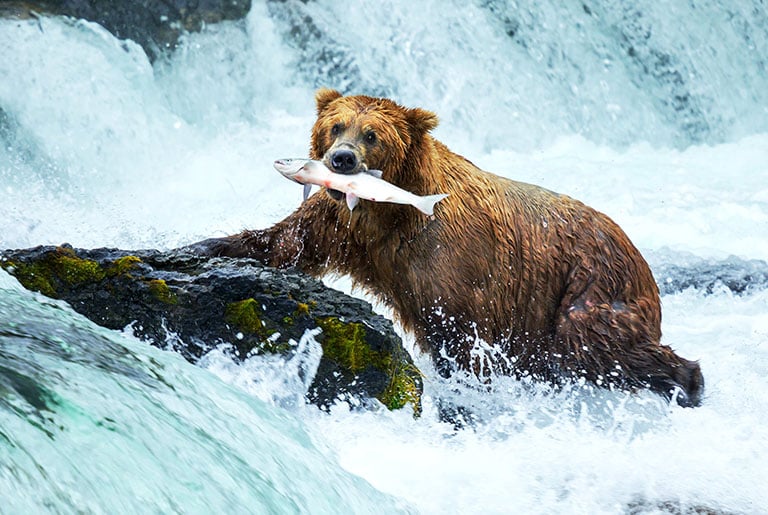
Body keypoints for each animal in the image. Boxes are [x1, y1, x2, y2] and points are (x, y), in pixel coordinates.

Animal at [192, 89, 704, 408]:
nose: (341, 160)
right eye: (336, 126)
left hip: (587, 284)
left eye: (372, 134)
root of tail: (638, 254)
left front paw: (467, 388)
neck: (390, 211)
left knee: (593, 343)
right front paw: (208, 244)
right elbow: (286, 242)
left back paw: (688, 381)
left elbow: (460, 332)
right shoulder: (343, 226)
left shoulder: (452, 258)